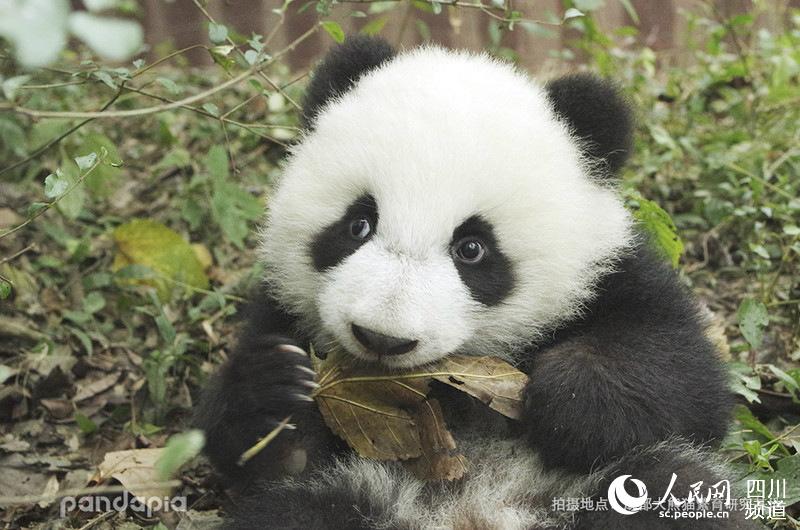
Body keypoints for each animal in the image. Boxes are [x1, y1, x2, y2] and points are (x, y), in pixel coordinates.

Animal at [194, 36, 755, 529]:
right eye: (358, 225)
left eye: (472, 248)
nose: (381, 338)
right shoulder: (284, 306)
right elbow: (265, 456)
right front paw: (277, 392)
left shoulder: (612, 274)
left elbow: (689, 383)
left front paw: (569, 395)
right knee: (298, 514)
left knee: (670, 488)